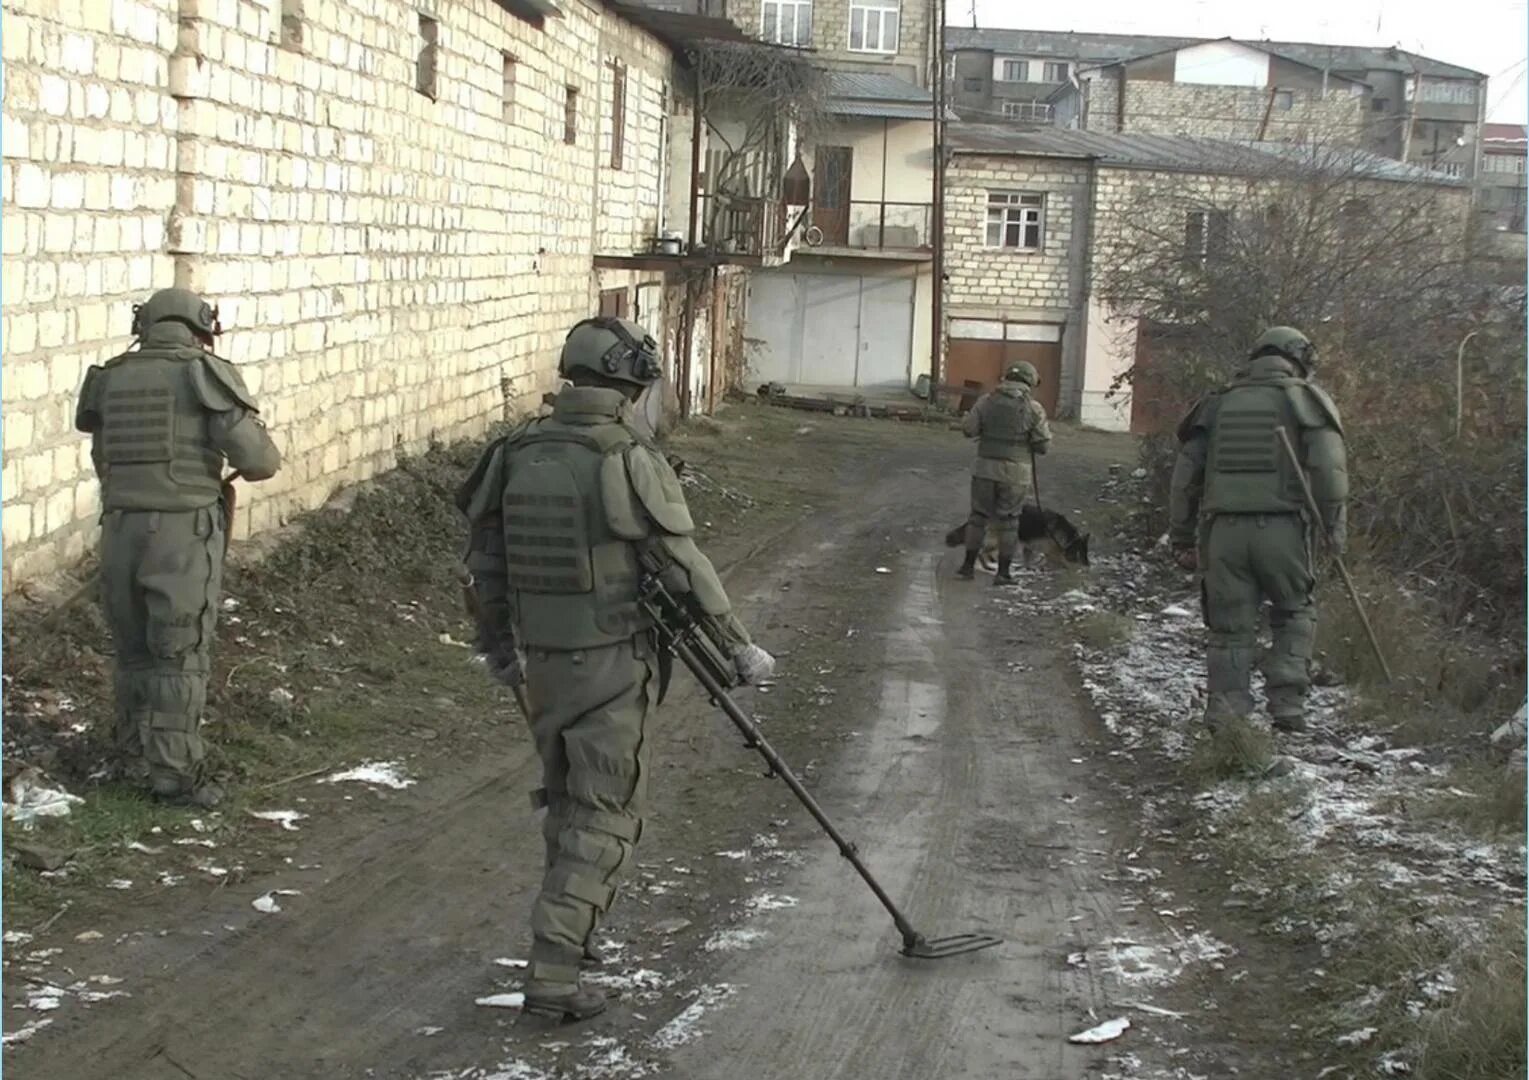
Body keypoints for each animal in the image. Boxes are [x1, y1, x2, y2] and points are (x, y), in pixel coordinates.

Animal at [935, 504, 1094, 572]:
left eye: (1086, 553)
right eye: (1082, 553)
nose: (1088, 565)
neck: (1067, 535)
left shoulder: (1029, 547)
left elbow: (1030, 559)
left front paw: (1030, 568)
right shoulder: (1050, 549)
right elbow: (1059, 559)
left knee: (986, 551)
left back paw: (992, 561)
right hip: (1000, 540)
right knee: (981, 552)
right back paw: (987, 565)